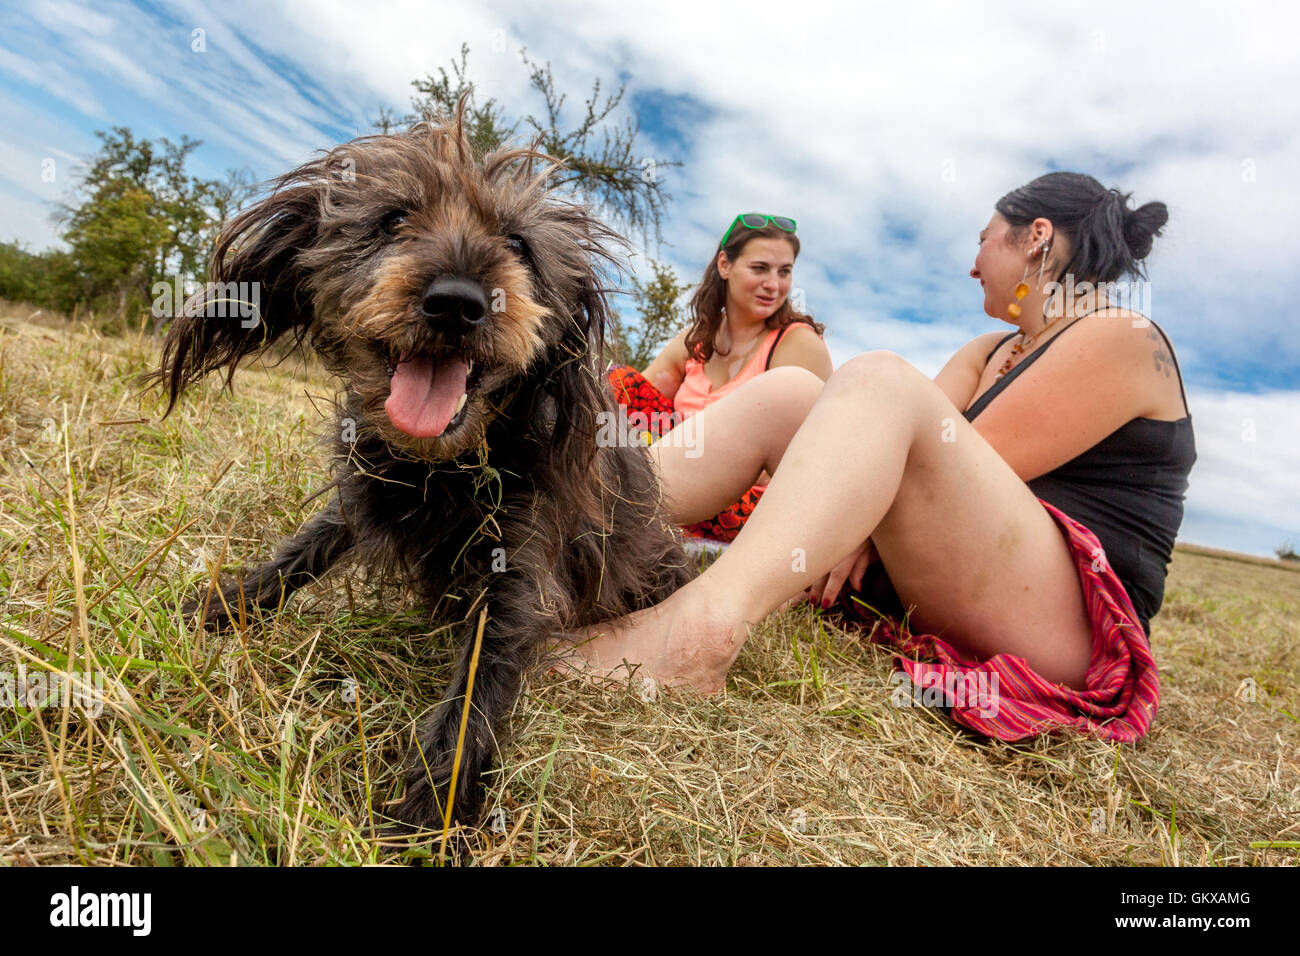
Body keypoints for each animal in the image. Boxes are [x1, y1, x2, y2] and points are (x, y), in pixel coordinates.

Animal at [152, 104, 696, 832]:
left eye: (519, 245)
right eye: (392, 221)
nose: (457, 303)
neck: (444, 463)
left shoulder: (520, 570)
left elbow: (476, 691)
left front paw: (429, 817)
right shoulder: (365, 491)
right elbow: (304, 548)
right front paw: (221, 604)